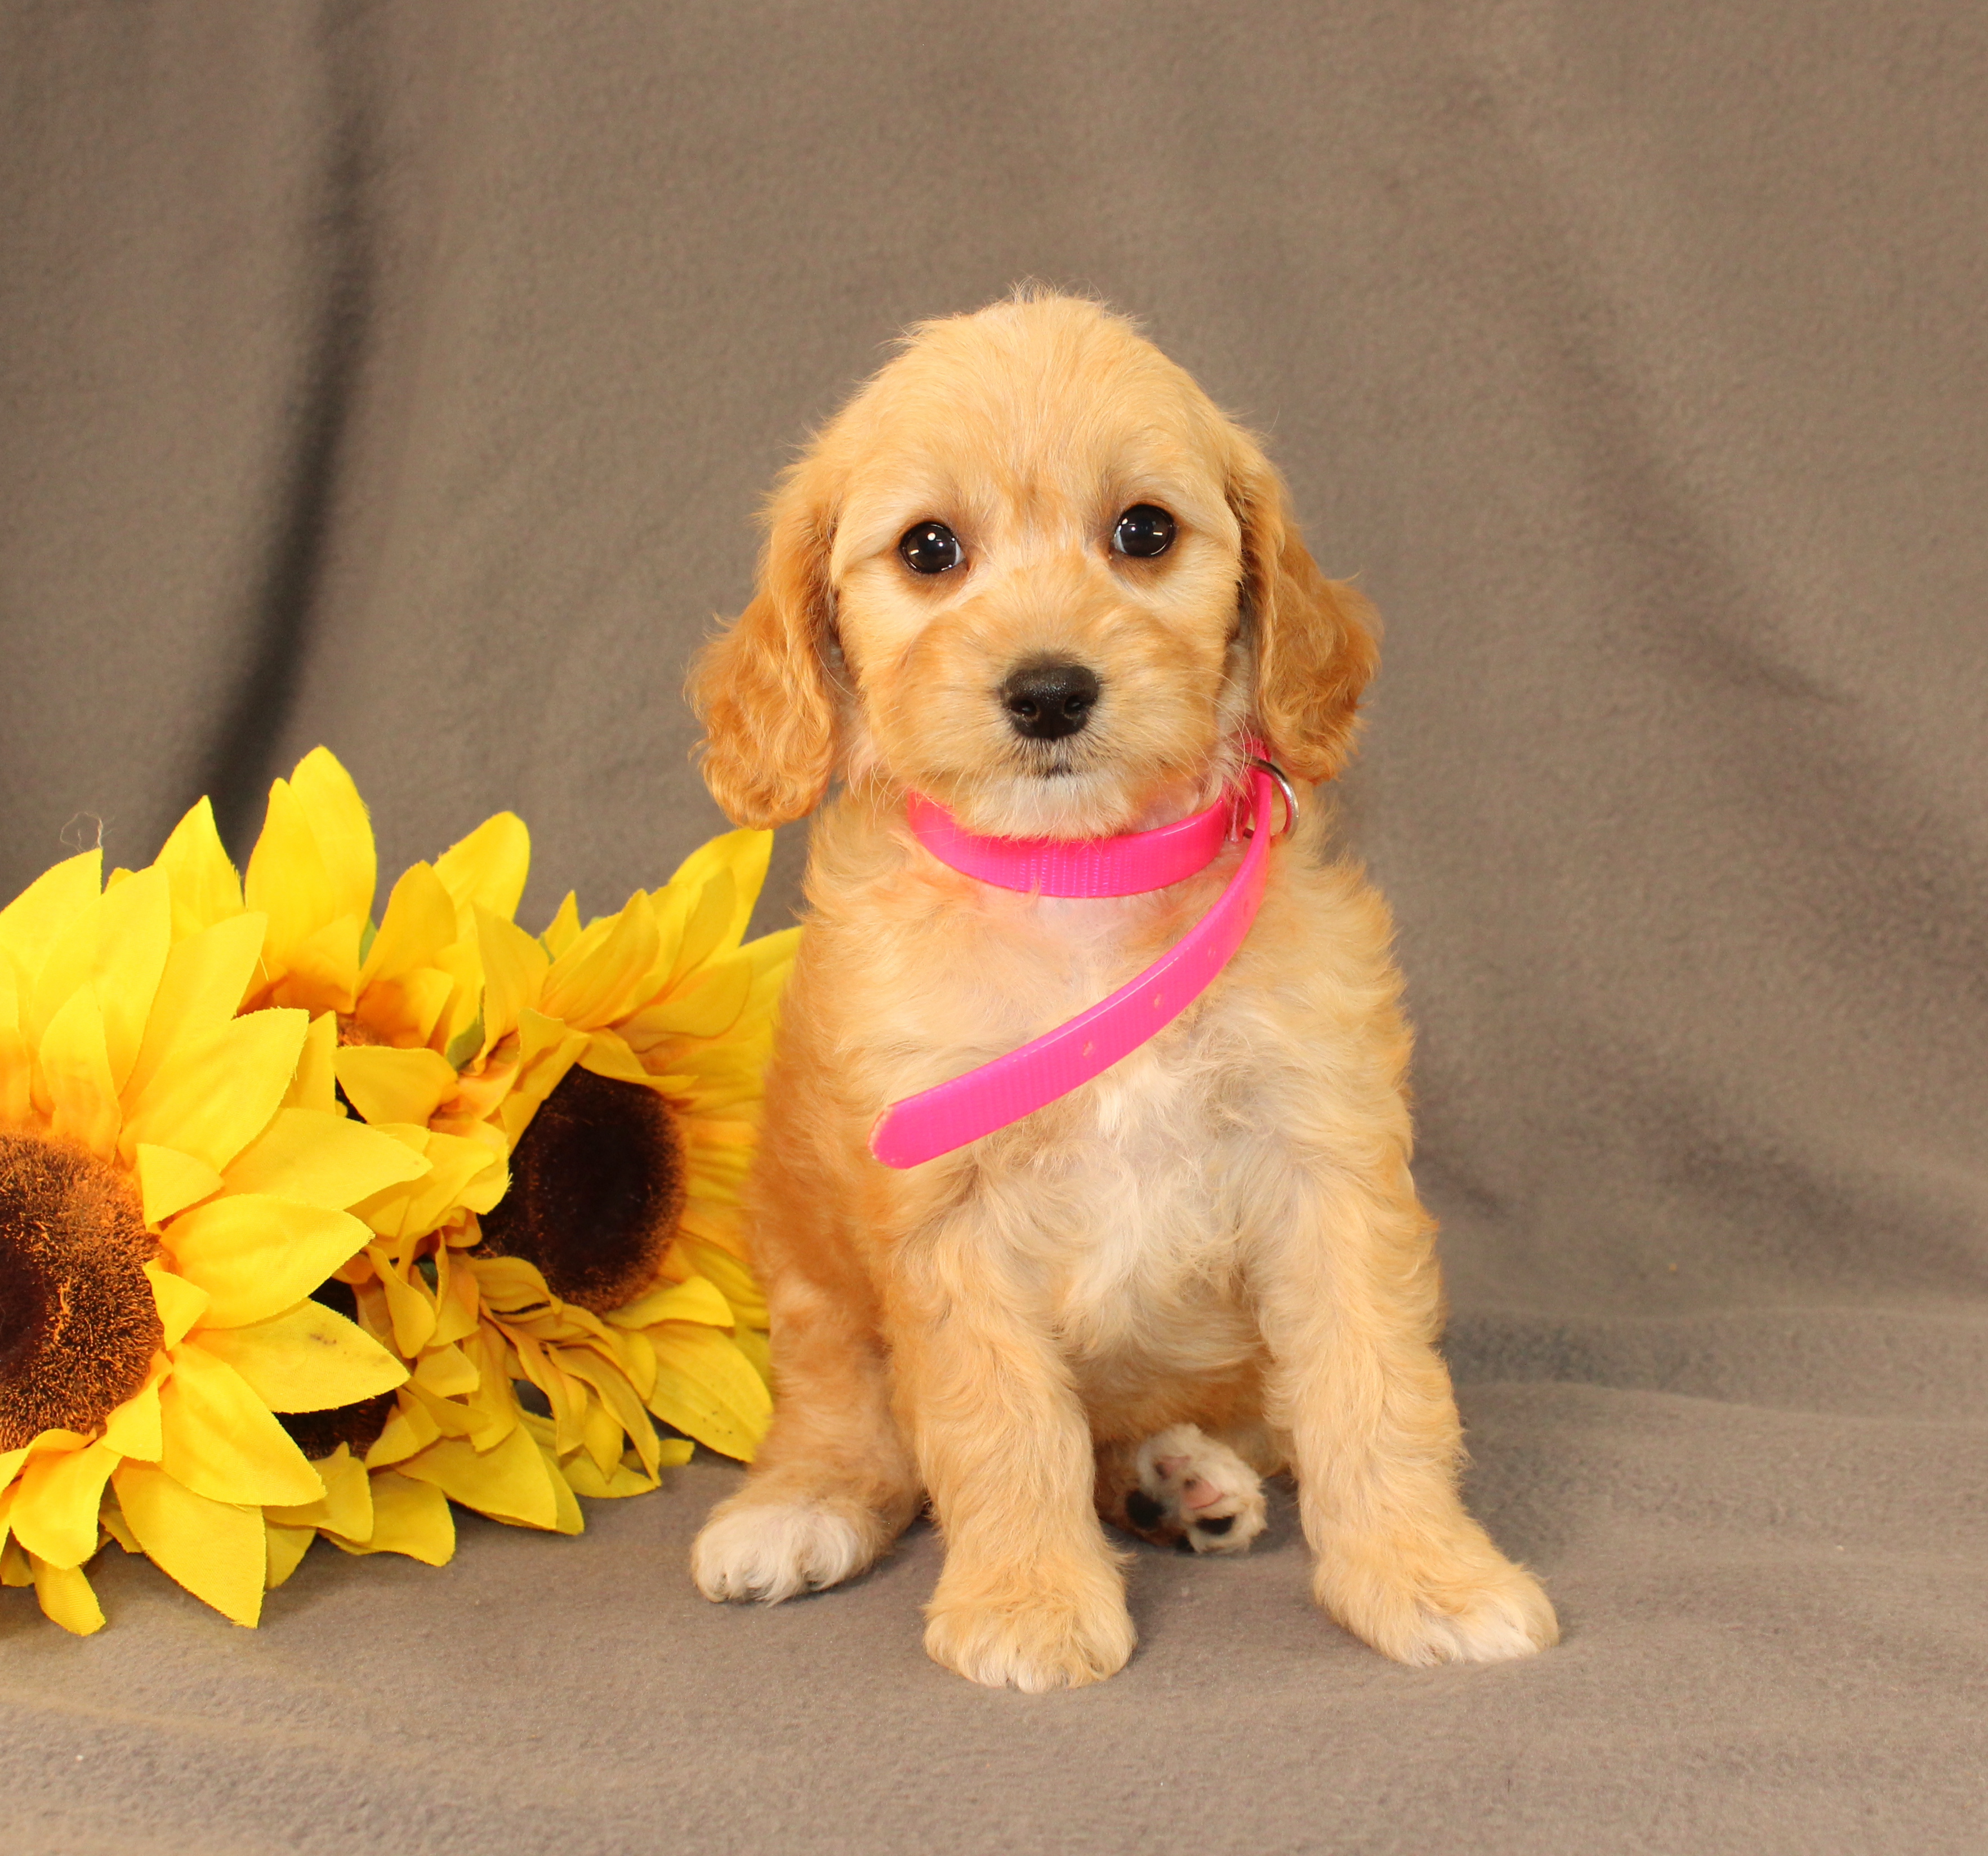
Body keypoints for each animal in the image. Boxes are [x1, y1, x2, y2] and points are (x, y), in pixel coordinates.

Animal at [684, 292, 1550, 1694]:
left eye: (1143, 531)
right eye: (929, 549)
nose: (1049, 691)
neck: (1080, 885)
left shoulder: (1325, 1163)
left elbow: (1373, 1385)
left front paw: (1424, 1574)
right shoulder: (945, 1212)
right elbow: (998, 1422)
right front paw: (1030, 1602)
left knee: (1216, 1421)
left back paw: (1177, 1478)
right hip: (805, 1265)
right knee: (846, 1417)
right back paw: (797, 1510)